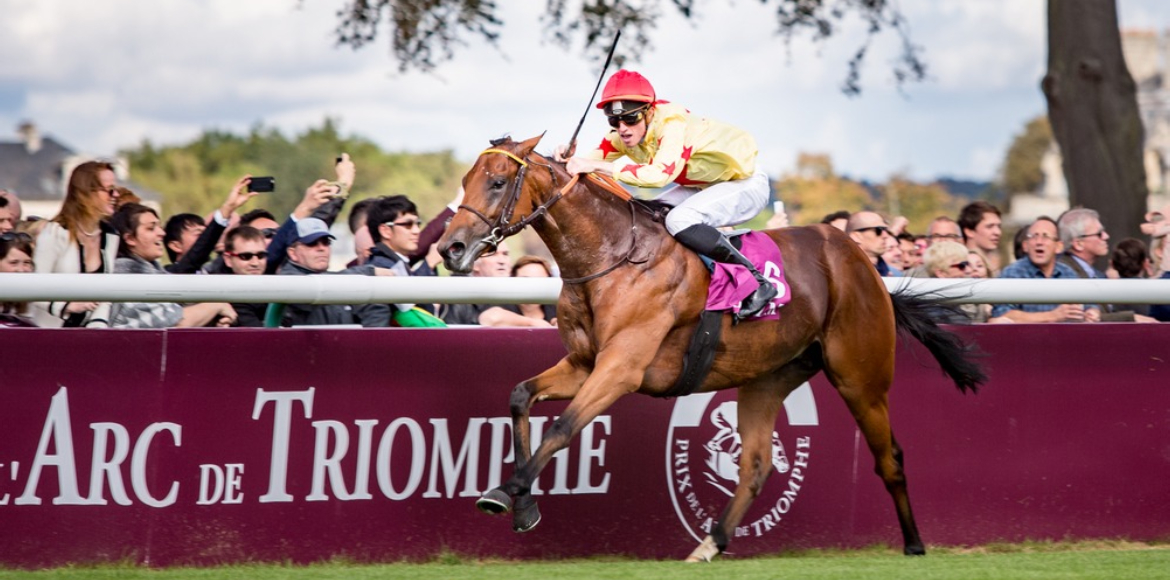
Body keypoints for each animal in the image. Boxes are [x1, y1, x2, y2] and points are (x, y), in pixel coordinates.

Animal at [435, 135, 982, 561]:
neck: (612, 255)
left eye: (498, 182)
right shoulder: (584, 362)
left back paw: (914, 544)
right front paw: (523, 505)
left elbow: (564, 427)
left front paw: (504, 492)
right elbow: (521, 397)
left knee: (890, 455)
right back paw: (710, 542)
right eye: (465, 179)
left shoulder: (622, 367)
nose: (449, 249)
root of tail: (862, 260)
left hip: (860, 376)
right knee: (756, 466)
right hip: (768, 379)